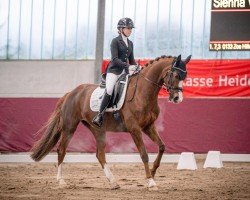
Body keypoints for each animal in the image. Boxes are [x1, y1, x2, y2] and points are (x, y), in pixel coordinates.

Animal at [31, 54, 191, 189]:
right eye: (175, 75)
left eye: (185, 76)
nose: (177, 98)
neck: (143, 92)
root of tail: (71, 93)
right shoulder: (135, 129)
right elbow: (144, 154)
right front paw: (151, 181)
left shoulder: (148, 126)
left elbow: (162, 147)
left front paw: (152, 173)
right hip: (69, 127)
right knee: (61, 150)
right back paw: (61, 181)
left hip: (97, 129)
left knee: (100, 154)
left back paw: (113, 182)